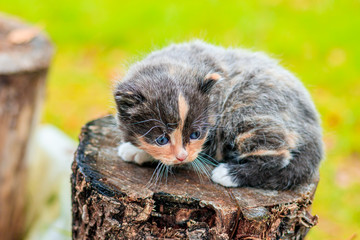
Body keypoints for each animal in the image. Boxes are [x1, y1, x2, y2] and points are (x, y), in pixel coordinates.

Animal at [113, 40, 324, 189]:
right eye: (161, 139)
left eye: (195, 134)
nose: (182, 156)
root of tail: (313, 128)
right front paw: (137, 149)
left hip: (248, 109)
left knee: (279, 154)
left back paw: (229, 174)